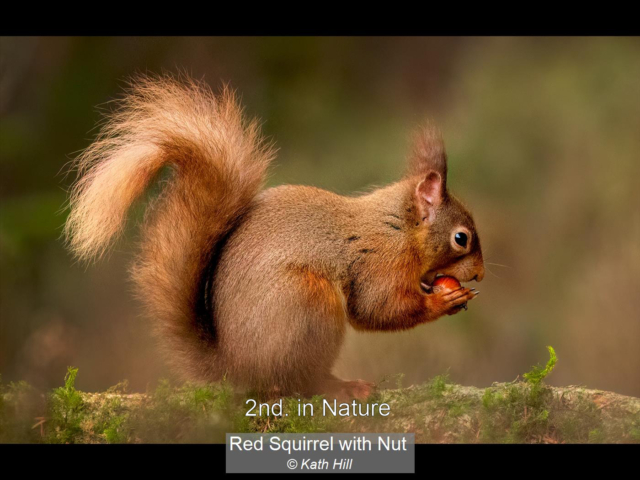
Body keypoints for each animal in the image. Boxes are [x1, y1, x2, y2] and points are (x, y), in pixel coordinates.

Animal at [64, 75, 485, 400]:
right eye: (461, 238)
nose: (480, 274)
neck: (398, 226)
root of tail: (237, 368)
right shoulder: (378, 261)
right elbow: (376, 309)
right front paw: (444, 300)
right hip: (306, 303)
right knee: (301, 382)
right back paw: (342, 387)